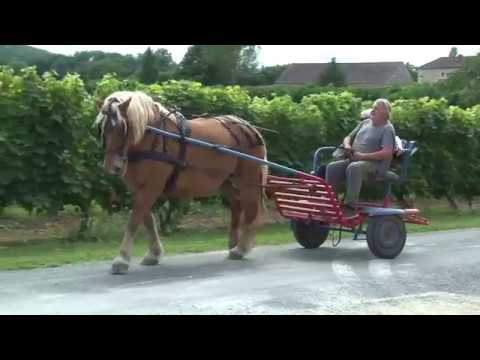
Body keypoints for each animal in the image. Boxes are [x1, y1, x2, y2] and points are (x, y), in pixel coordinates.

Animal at [94, 91, 266, 274]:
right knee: (237, 205)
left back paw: (241, 248)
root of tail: (249, 128)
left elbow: (134, 221)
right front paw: (153, 254)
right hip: (224, 181)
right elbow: (148, 220)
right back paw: (233, 244)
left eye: (123, 127)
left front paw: (122, 259)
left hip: (248, 180)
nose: (112, 166)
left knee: (251, 210)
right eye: (103, 127)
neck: (153, 138)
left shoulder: (150, 188)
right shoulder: (139, 188)